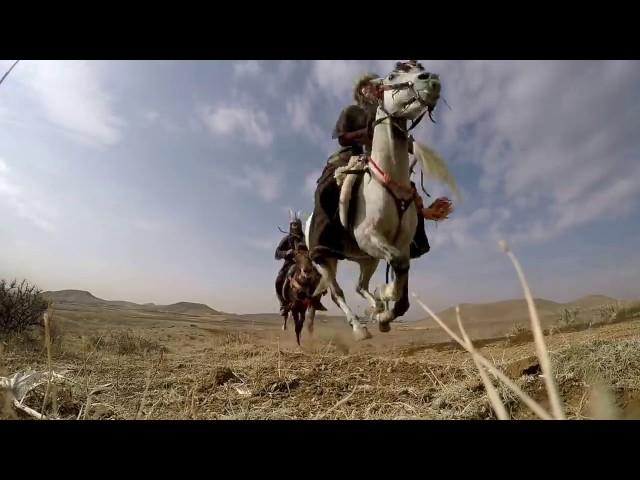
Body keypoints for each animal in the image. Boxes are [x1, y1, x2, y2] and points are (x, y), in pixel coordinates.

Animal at [304, 61, 444, 342]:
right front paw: (386, 295)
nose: (431, 80)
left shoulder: (400, 244)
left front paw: (385, 314)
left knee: (360, 286)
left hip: (367, 259)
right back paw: (359, 327)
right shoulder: (369, 236)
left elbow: (403, 284)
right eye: (392, 76)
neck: (385, 180)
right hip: (325, 259)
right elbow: (398, 267)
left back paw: (375, 308)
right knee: (337, 292)